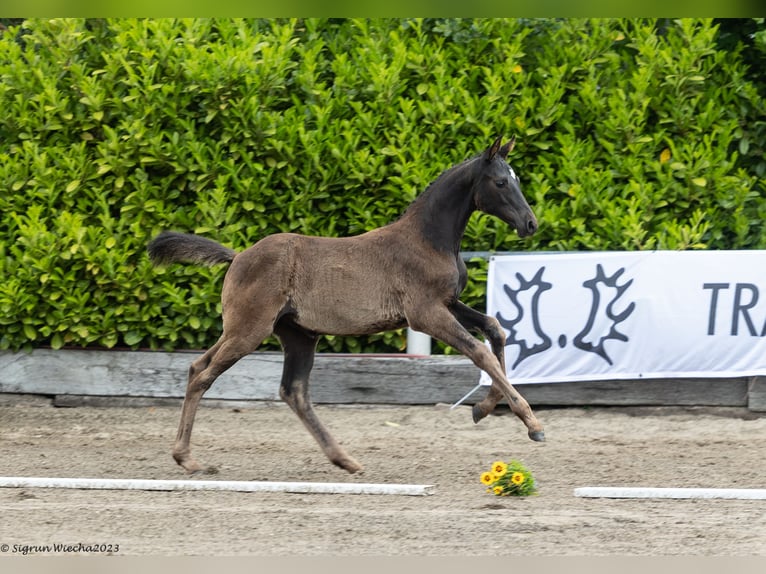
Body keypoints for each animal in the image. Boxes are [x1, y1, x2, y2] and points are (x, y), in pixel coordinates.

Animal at [148, 136, 544, 476]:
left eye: (517, 179)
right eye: (500, 182)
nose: (530, 223)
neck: (428, 239)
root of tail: (238, 256)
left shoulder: (448, 303)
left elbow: (494, 328)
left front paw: (483, 408)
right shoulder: (425, 314)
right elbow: (480, 351)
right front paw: (532, 424)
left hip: (292, 334)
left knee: (279, 387)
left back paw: (345, 460)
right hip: (249, 330)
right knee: (205, 375)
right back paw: (188, 459)